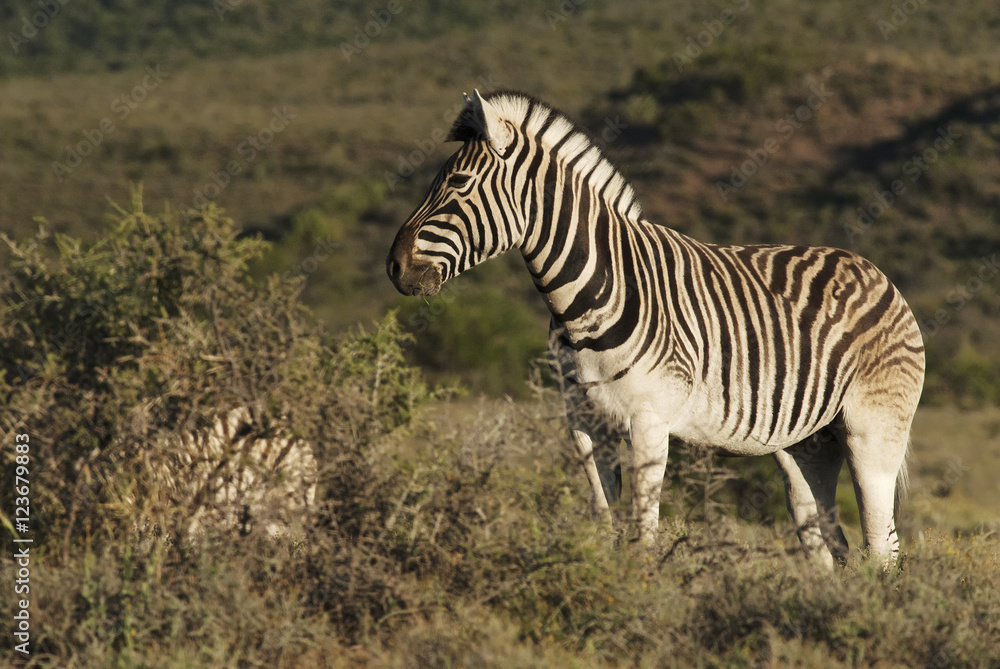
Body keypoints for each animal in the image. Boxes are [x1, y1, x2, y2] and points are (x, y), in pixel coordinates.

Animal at [386, 89, 925, 567]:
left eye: (457, 183)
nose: (394, 267)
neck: (586, 298)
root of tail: (877, 273)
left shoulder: (648, 421)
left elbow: (643, 533)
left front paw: (639, 600)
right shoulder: (585, 424)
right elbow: (603, 524)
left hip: (872, 431)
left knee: (882, 549)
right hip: (806, 445)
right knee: (829, 544)